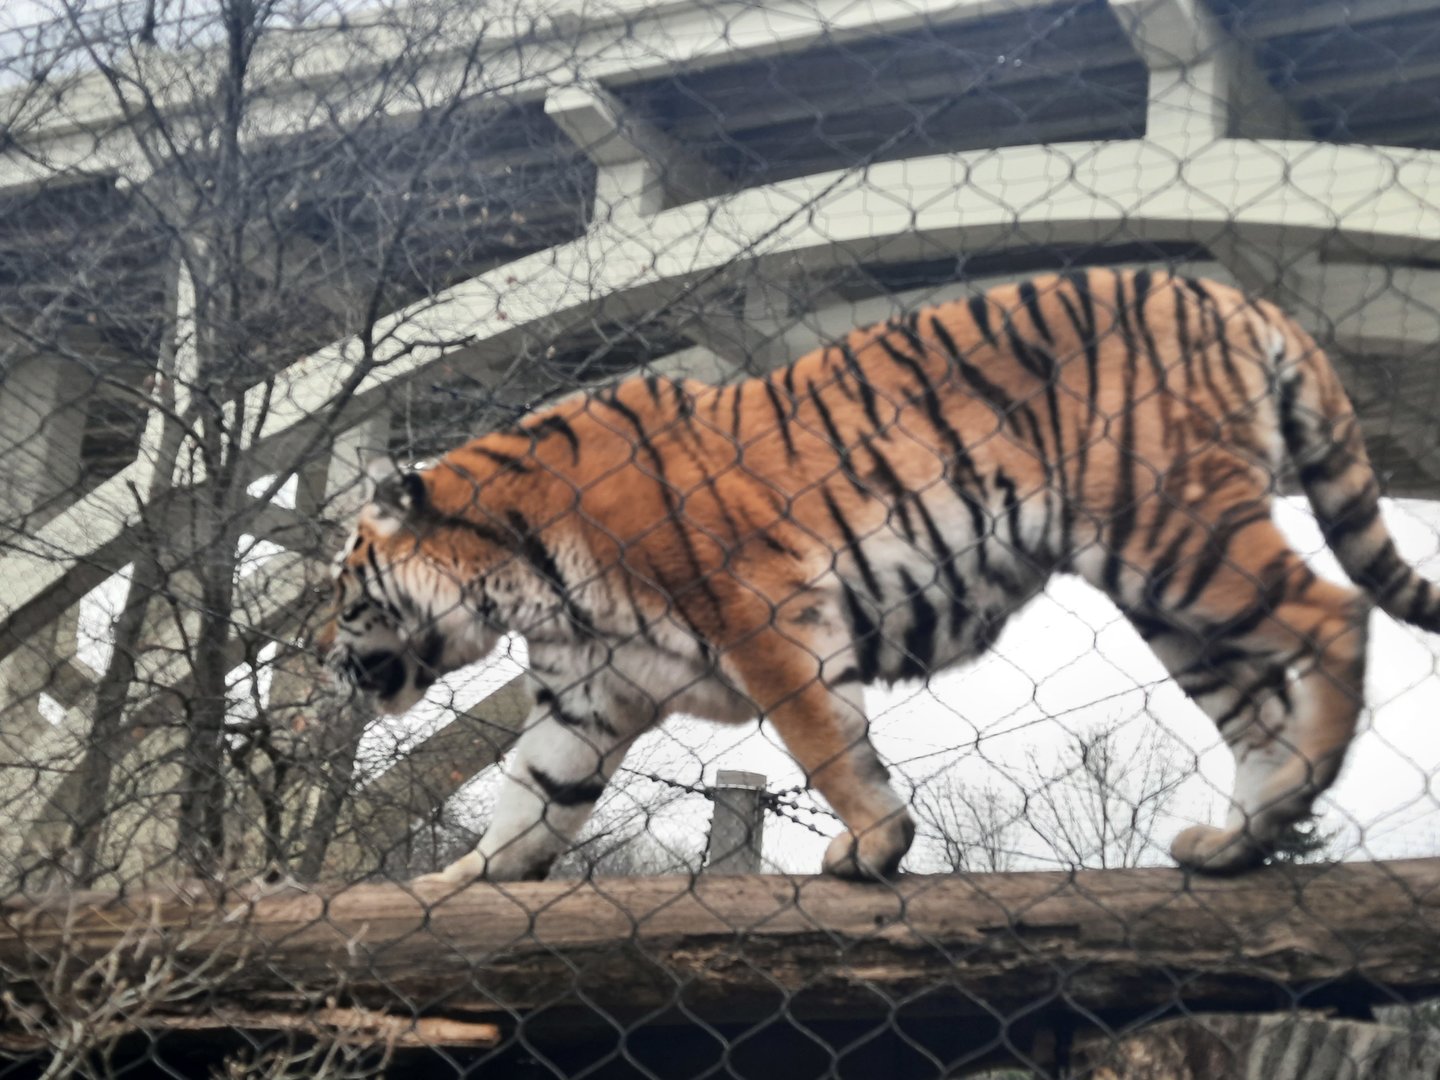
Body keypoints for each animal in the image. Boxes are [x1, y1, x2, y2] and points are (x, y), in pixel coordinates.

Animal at [319, 268, 1440, 885]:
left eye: (341, 589)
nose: (323, 656)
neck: (517, 576)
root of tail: (1231, 291)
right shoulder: (588, 694)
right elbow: (532, 801)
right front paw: (450, 885)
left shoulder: (765, 620)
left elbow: (828, 748)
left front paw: (874, 847)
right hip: (1166, 592)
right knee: (1256, 708)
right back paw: (1240, 839)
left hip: (1174, 533)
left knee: (1335, 612)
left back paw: (1301, 786)